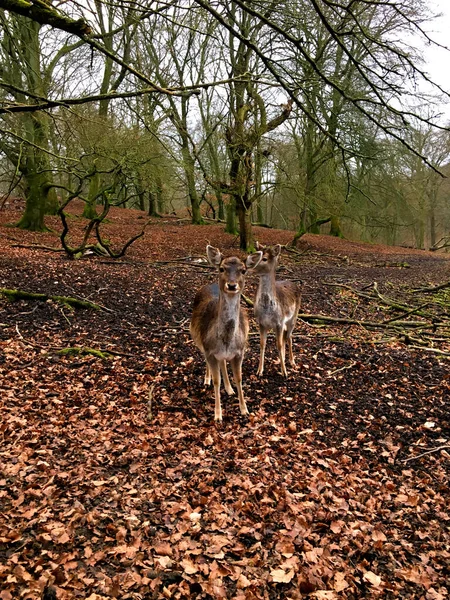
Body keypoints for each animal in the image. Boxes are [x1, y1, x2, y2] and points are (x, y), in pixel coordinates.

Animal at [190, 244, 264, 422]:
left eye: (243, 270)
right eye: (222, 268)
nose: (231, 285)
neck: (227, 340)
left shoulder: (239, 352)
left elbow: (239, 378)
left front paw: (244, 409)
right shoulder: (210, 351)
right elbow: (216, 381)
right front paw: (218, 415)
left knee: (223, 362)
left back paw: (229, 389)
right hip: (200, 343)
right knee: (208, 362)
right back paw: (207, 380)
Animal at [248, 243, 300, 376]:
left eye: (265, 258)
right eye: (254, 254)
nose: (248, 266)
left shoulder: (279, 323)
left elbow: (279, 344)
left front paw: (284, 372)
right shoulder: (261, 323)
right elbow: (262, 344)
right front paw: (259, 370)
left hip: (293, 318)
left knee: (289, 337)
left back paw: (292, 362)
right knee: (286, 336)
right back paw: (281, 360)